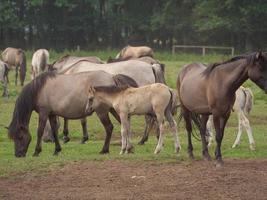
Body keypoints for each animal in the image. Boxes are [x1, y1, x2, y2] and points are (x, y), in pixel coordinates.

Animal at [8, 70, 138, 158]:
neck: (39, 89)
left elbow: (39, 131)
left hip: (102, 112)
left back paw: (104, 150)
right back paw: (129, 148)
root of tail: (112, 77)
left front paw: (36, 151)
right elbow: (54, 131)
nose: (18, 154)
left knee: (109, 127)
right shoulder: (51, 114)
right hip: (113, 109)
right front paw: (57, 150)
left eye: (20, 137)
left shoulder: (43, 113)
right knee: (125, 125)